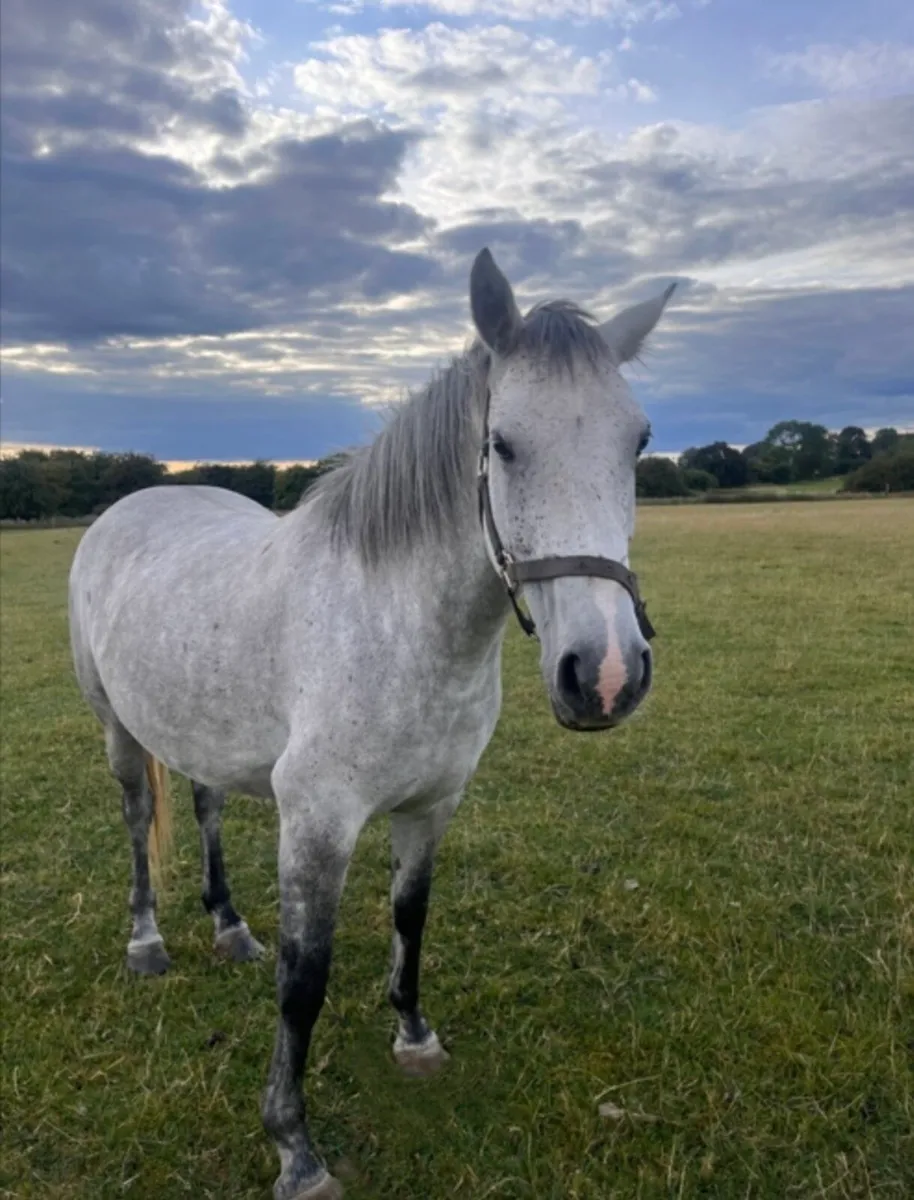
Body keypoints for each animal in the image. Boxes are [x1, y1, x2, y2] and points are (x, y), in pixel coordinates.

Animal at [68, 248, 675, 1199]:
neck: (398, 622)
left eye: (637, 442)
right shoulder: (319, 821)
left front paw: (415, 1039)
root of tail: (131, 506)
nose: (606, 675)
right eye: (504, 444)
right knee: (137, 820)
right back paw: (147, 942)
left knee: (204, 808)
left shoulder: (430, 805)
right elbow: (304, 981)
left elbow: (410, 917)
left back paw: (228, 927)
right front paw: (294, 1147)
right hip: (119, 731)